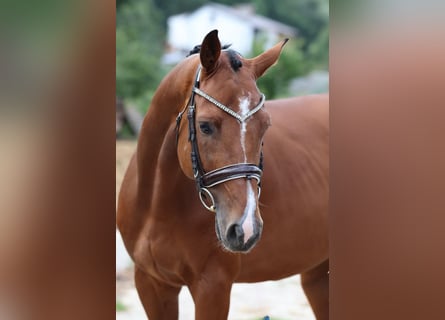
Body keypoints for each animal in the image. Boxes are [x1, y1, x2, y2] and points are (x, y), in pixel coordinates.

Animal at [116, 30, 328, 320]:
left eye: (265, 126)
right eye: (205, 126)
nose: (245, 228)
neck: (156, 206)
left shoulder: (213, 286)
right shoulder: (151, 283)